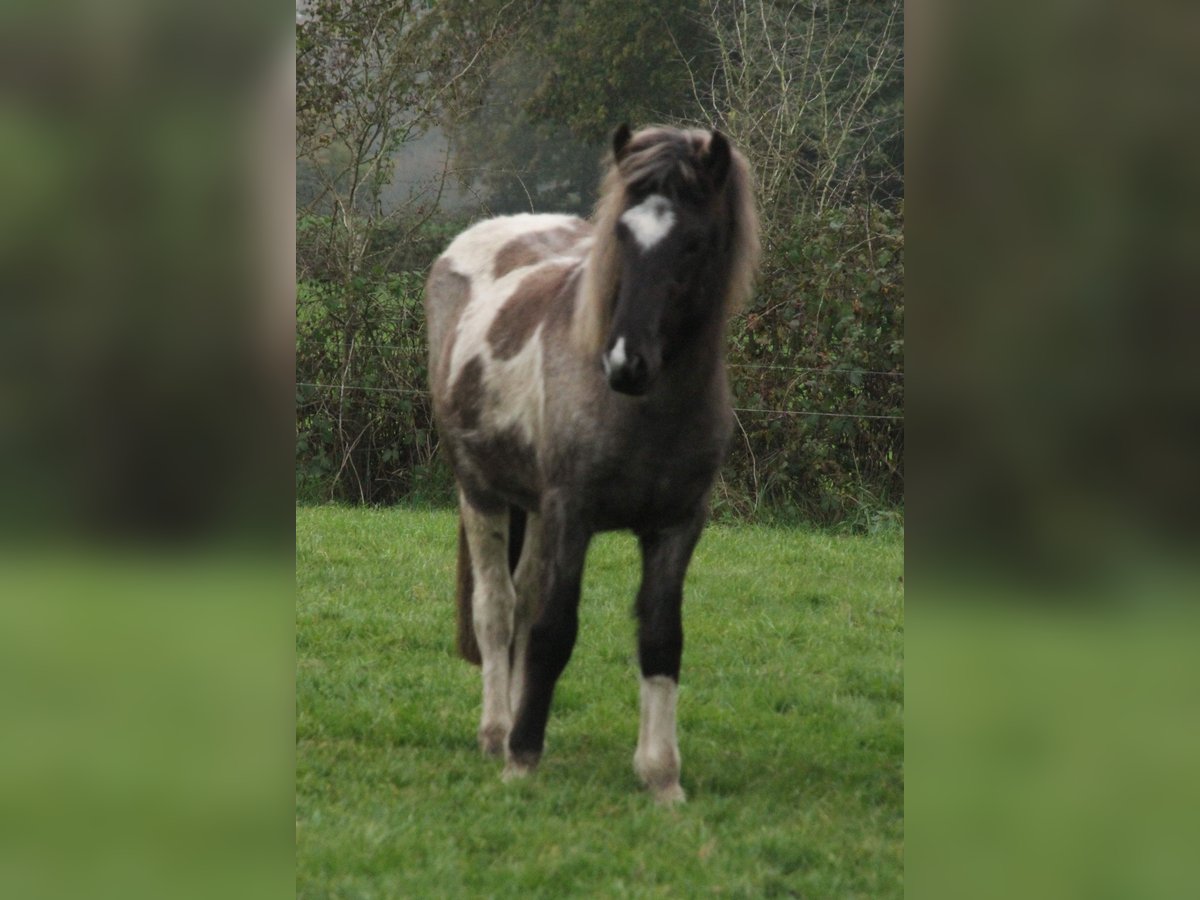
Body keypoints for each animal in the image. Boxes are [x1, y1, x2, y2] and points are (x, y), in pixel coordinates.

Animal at [427, 121, 753, 801]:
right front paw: (523, 757)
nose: (626, 363)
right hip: (481, 492)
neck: (646, 413)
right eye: (621, 236)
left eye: (694, 243)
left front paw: (661, 777)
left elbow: (661, 637)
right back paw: (498, 730)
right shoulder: (572, 514)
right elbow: (553, 631)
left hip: (532, 509)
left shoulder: (678, 526)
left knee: (521, 604)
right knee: (498, 611)